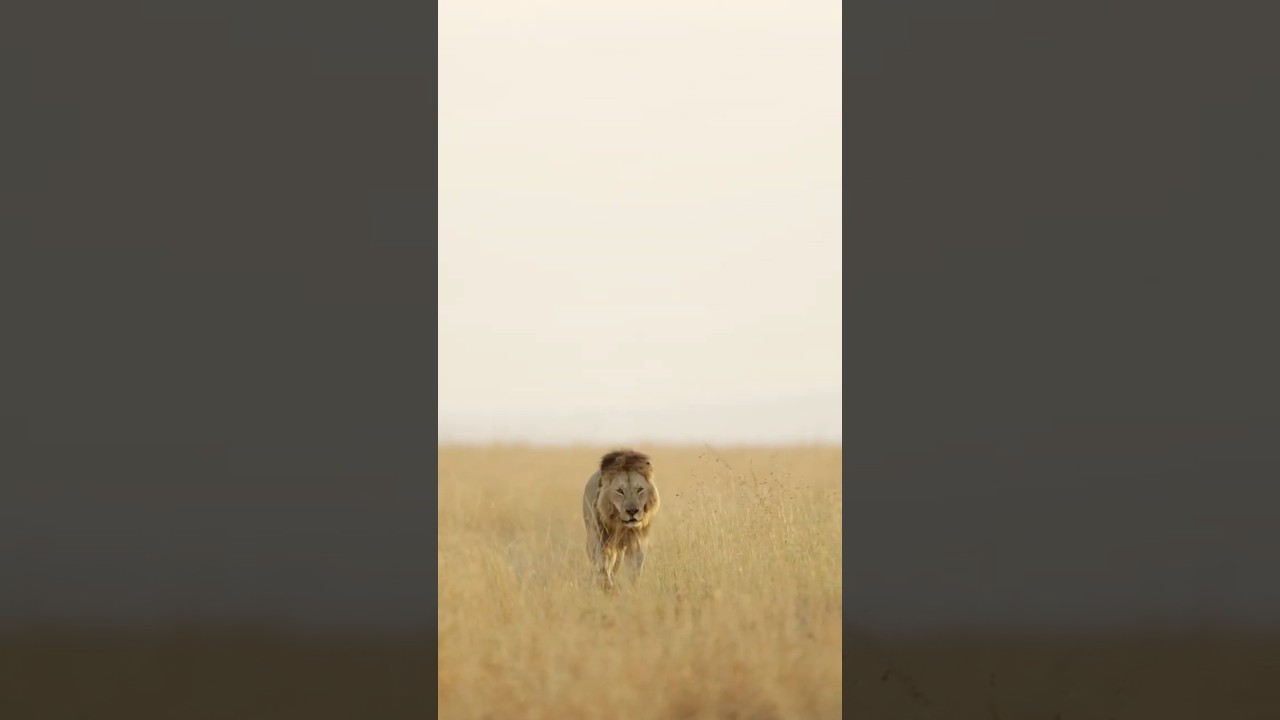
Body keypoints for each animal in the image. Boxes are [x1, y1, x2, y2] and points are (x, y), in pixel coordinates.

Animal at [582, 449, 660, 592]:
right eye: (620, 491)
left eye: (639, 489)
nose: (632, 511)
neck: (622, 526)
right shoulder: (599, 539)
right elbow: (602, 568)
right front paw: (608, 588)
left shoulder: (637, 543)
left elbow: (634, 572)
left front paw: (632, 591)